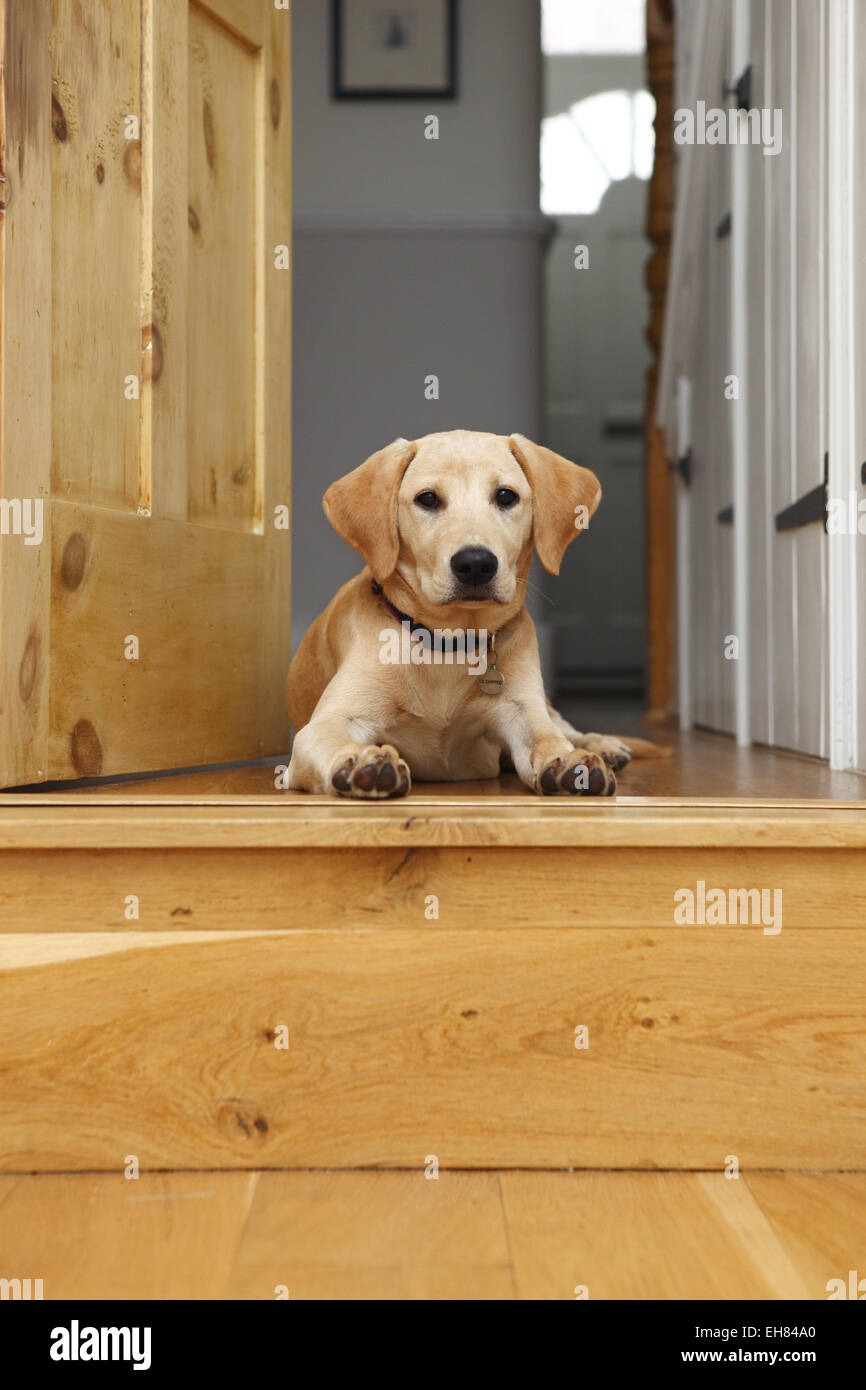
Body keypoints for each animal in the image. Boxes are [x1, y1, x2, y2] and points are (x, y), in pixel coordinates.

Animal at [291, 428, 664, 800]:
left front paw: (572, 763)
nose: (475, 564)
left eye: (506, 496)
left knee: (565, 728)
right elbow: (334, 737)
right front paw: (360, 761)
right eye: (428, 499)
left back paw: (603, 745)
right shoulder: (327, 724)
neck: (448, 644)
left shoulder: (523, 713)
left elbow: (547, 739)